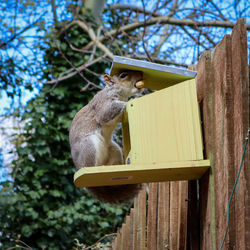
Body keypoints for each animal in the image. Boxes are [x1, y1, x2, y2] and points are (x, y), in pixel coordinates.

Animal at [69, 70, 144, 203]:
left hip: (114, 150)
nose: (140, 74)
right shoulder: (102, 103)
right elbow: (106, 113)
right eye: (123, 75)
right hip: (89, 146)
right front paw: (129, 101)